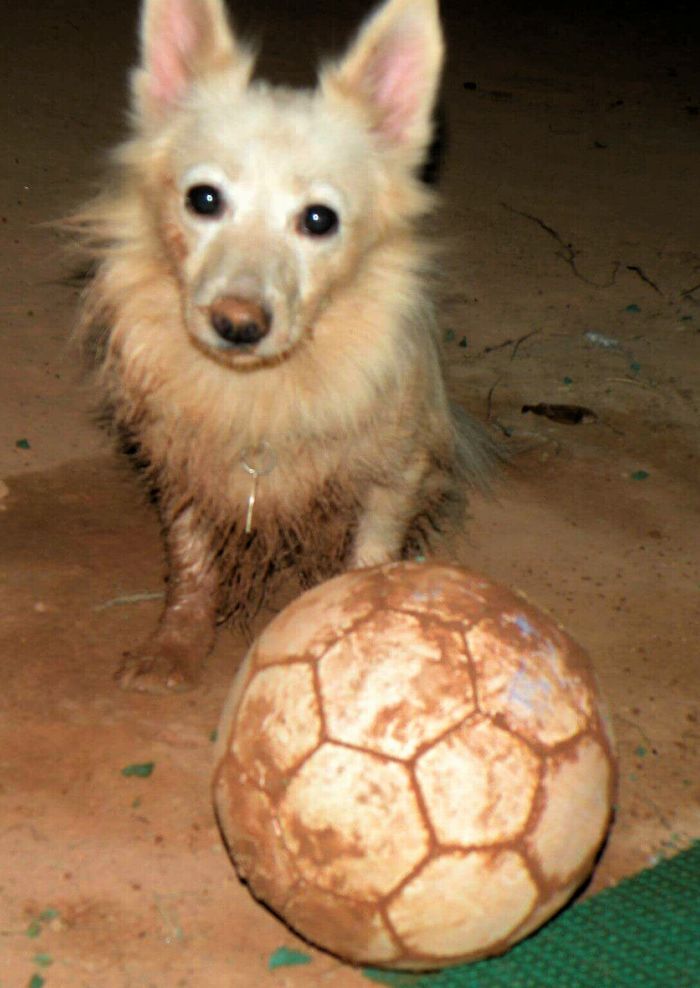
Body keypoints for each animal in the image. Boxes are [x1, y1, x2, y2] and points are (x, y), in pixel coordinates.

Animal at [75, 0, 498, 696]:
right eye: (203, 200)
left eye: (319, 220)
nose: (237, 324)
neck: (261, 389)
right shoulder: (183, 467)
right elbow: (192, 566)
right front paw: (176, 646)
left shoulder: (392, 479)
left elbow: (367, 563)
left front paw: (362, 631)